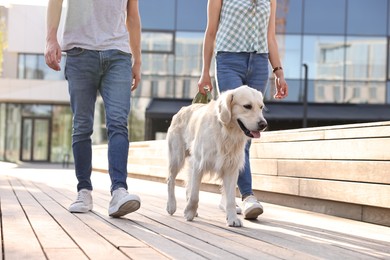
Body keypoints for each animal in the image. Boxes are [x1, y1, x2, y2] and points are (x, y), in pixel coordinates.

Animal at [165, 86, 268, 228]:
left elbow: (230, 199)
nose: (264, 124)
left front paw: (232, 218)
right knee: (171, 180)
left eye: (261, 107)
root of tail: (183, 109)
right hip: (177, 157)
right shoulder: (198, 163)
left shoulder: (231, 168)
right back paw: (171, 205)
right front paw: (189, 212)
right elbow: (195, 195)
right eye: (247, 106)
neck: (226, 132)